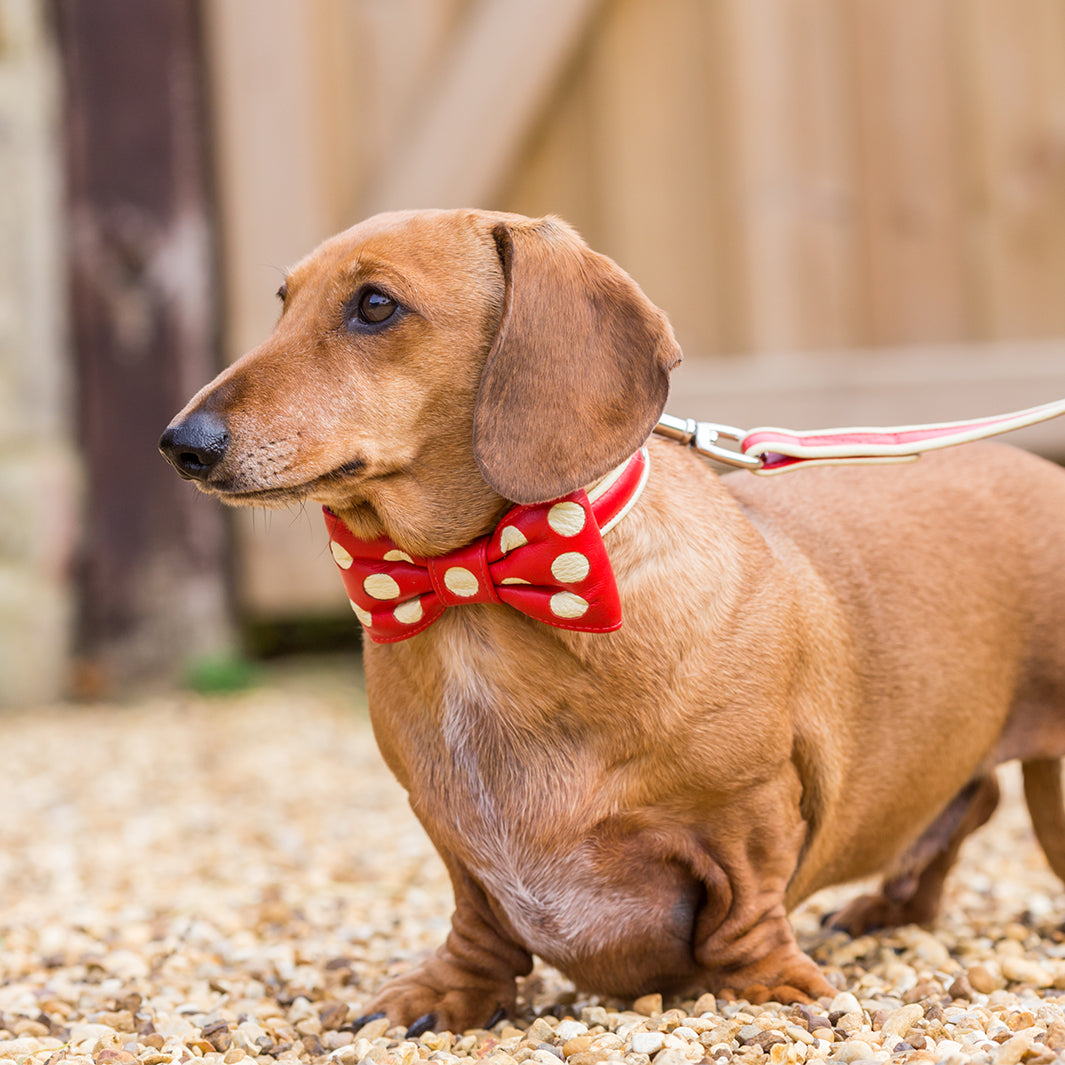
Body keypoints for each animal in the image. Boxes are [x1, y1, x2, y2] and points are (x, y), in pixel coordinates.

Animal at [159, 207, 1065, 1030]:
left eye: (375, 305)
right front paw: (447, 991)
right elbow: (476, 922)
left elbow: (747, 911)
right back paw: (887, 906)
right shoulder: (448, 833)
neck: (478, 595)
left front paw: (771, 986)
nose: (180, 445)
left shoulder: (750, 808)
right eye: (284, 302)